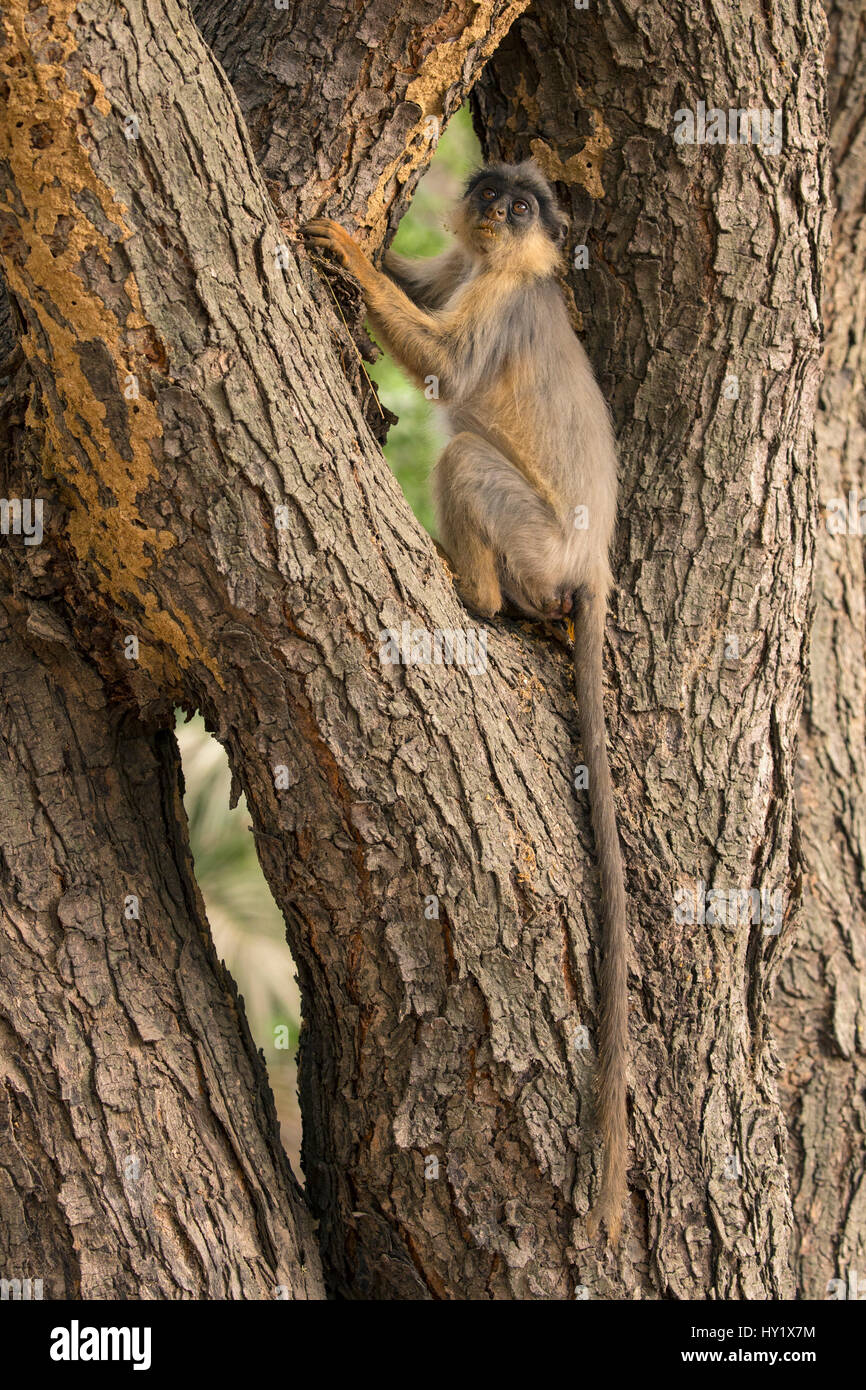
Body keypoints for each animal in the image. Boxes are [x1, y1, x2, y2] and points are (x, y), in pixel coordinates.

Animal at [304, 162, 631, 1251]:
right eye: (490, 189)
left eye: (523, 208)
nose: (494, 205)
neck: (503, 263)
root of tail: (591, 562)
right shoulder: (466, 269)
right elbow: (428, 280)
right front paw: (372, 244)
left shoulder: (503, 305)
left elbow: (448, 366)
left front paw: (348, 253)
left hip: (529, 537)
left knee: (461, 459)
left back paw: (475, 598)